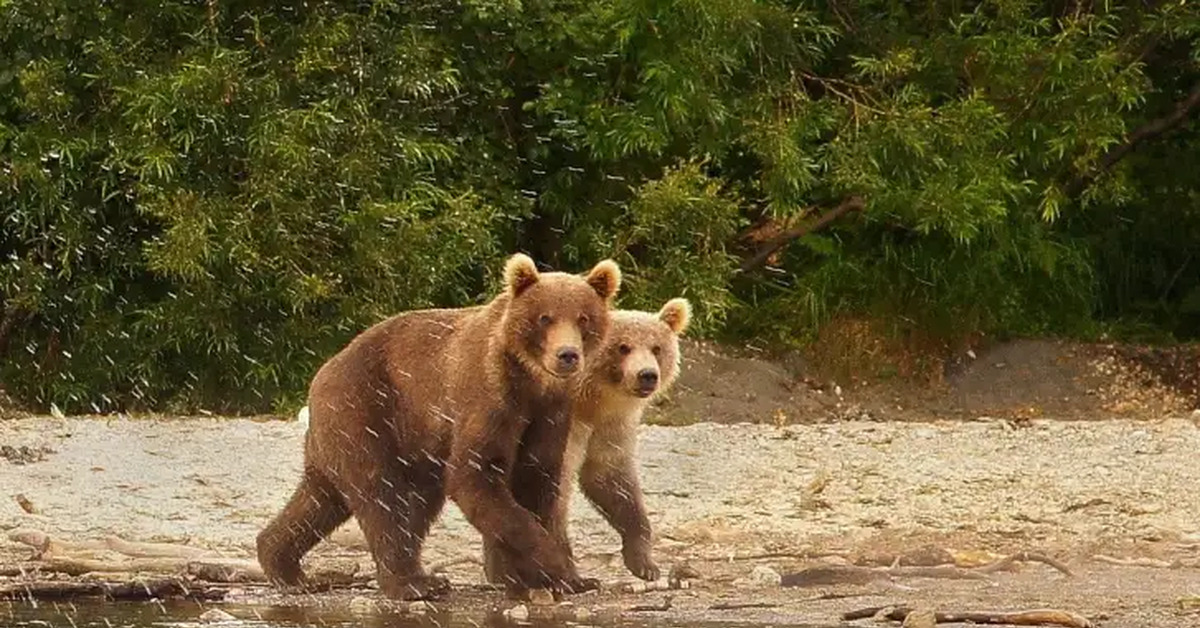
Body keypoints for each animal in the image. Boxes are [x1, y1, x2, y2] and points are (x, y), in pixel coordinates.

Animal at [256, 253, 624, 602]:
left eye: (584, 318)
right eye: (545, 317)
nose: (567, 354)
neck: (530, 381)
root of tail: (322, 373)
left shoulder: (550, 412)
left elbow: (537, 478)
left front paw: (568, 579)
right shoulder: (489, 399)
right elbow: (475, 477)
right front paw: (551, 565)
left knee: (326, 498)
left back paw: (285, 566)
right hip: (365, 410)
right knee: (382, 496)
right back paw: (413, 583)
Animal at [477, 298, 691, 585]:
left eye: (657, 347)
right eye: (623, 347)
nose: (647, 375)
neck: (592, 400)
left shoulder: (609, 425)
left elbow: (611, 477)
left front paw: (644, 563)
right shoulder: (563, 427)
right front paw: (570, 574)